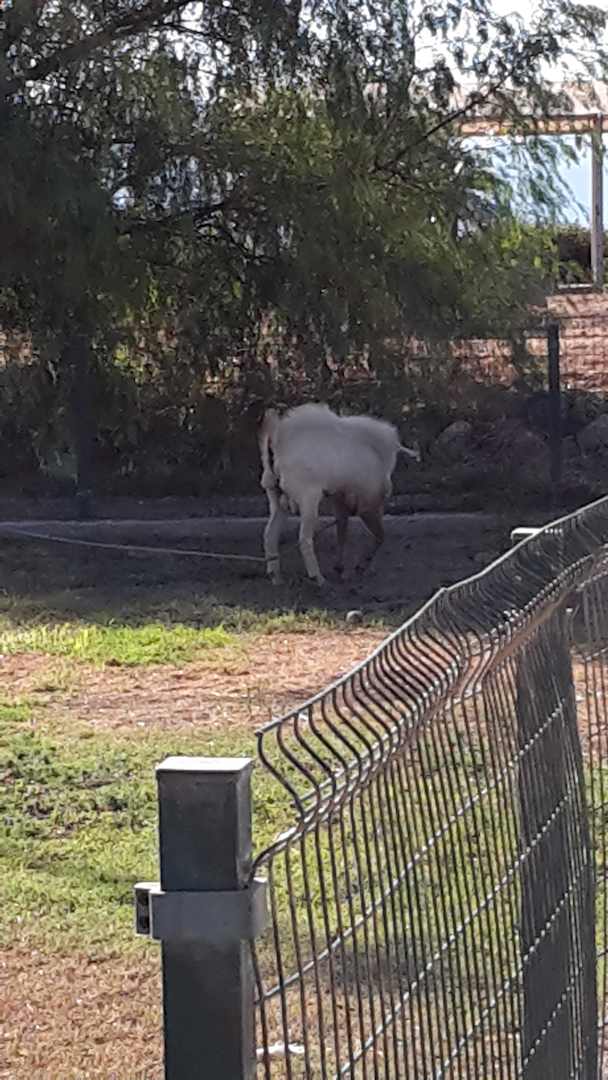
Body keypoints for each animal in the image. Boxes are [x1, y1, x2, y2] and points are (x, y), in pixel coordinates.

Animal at [259, 402, 420, 586]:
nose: (387, 489)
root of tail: (277, 441)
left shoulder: (340, 500)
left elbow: (342, 532)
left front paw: (340, 567)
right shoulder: (367, 506)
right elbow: (379, 536)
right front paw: (359, 567)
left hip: (276, 498)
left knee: (270, 535)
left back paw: (276, 577)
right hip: (309, 500)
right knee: (304, 539)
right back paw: (318, 578)